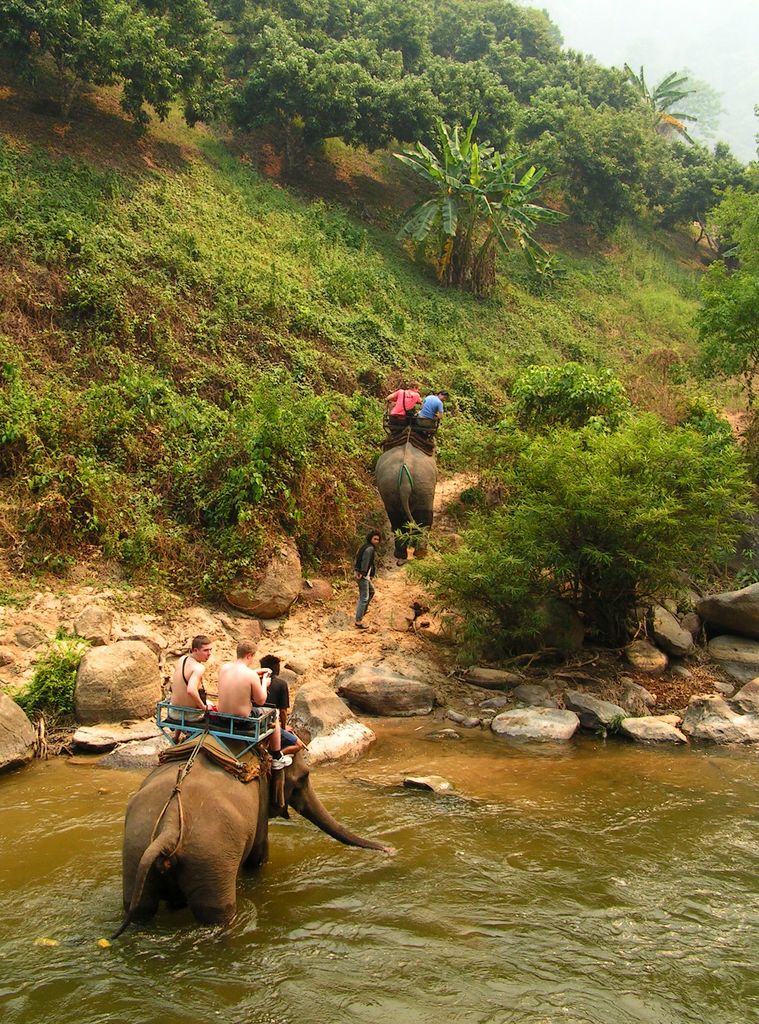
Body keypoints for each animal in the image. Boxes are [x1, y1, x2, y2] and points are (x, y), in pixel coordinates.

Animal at [118, 749, 393, 933]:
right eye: (304, 777)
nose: (390, 849)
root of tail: (169, 827)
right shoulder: (259, 802)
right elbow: (258, 857)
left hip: (135, 849)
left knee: (139, 908)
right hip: (209, 859)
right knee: (217, 914)